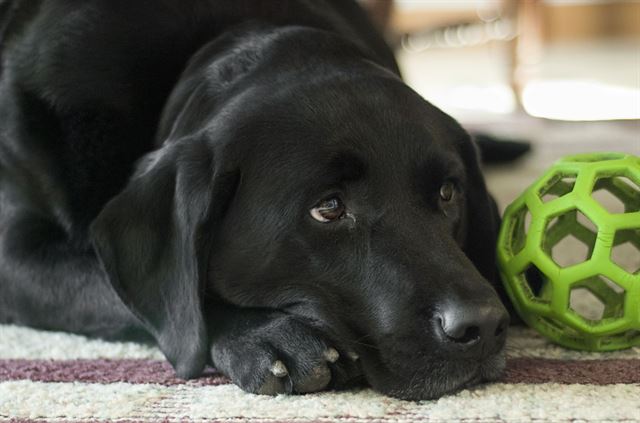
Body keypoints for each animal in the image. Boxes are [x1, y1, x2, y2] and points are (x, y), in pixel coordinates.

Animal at [0, 0, 510, 400]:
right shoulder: (15, 258)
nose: (483, 325)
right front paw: (268, 337)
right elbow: (136, 295)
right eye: (329, 208)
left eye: (447, 192)